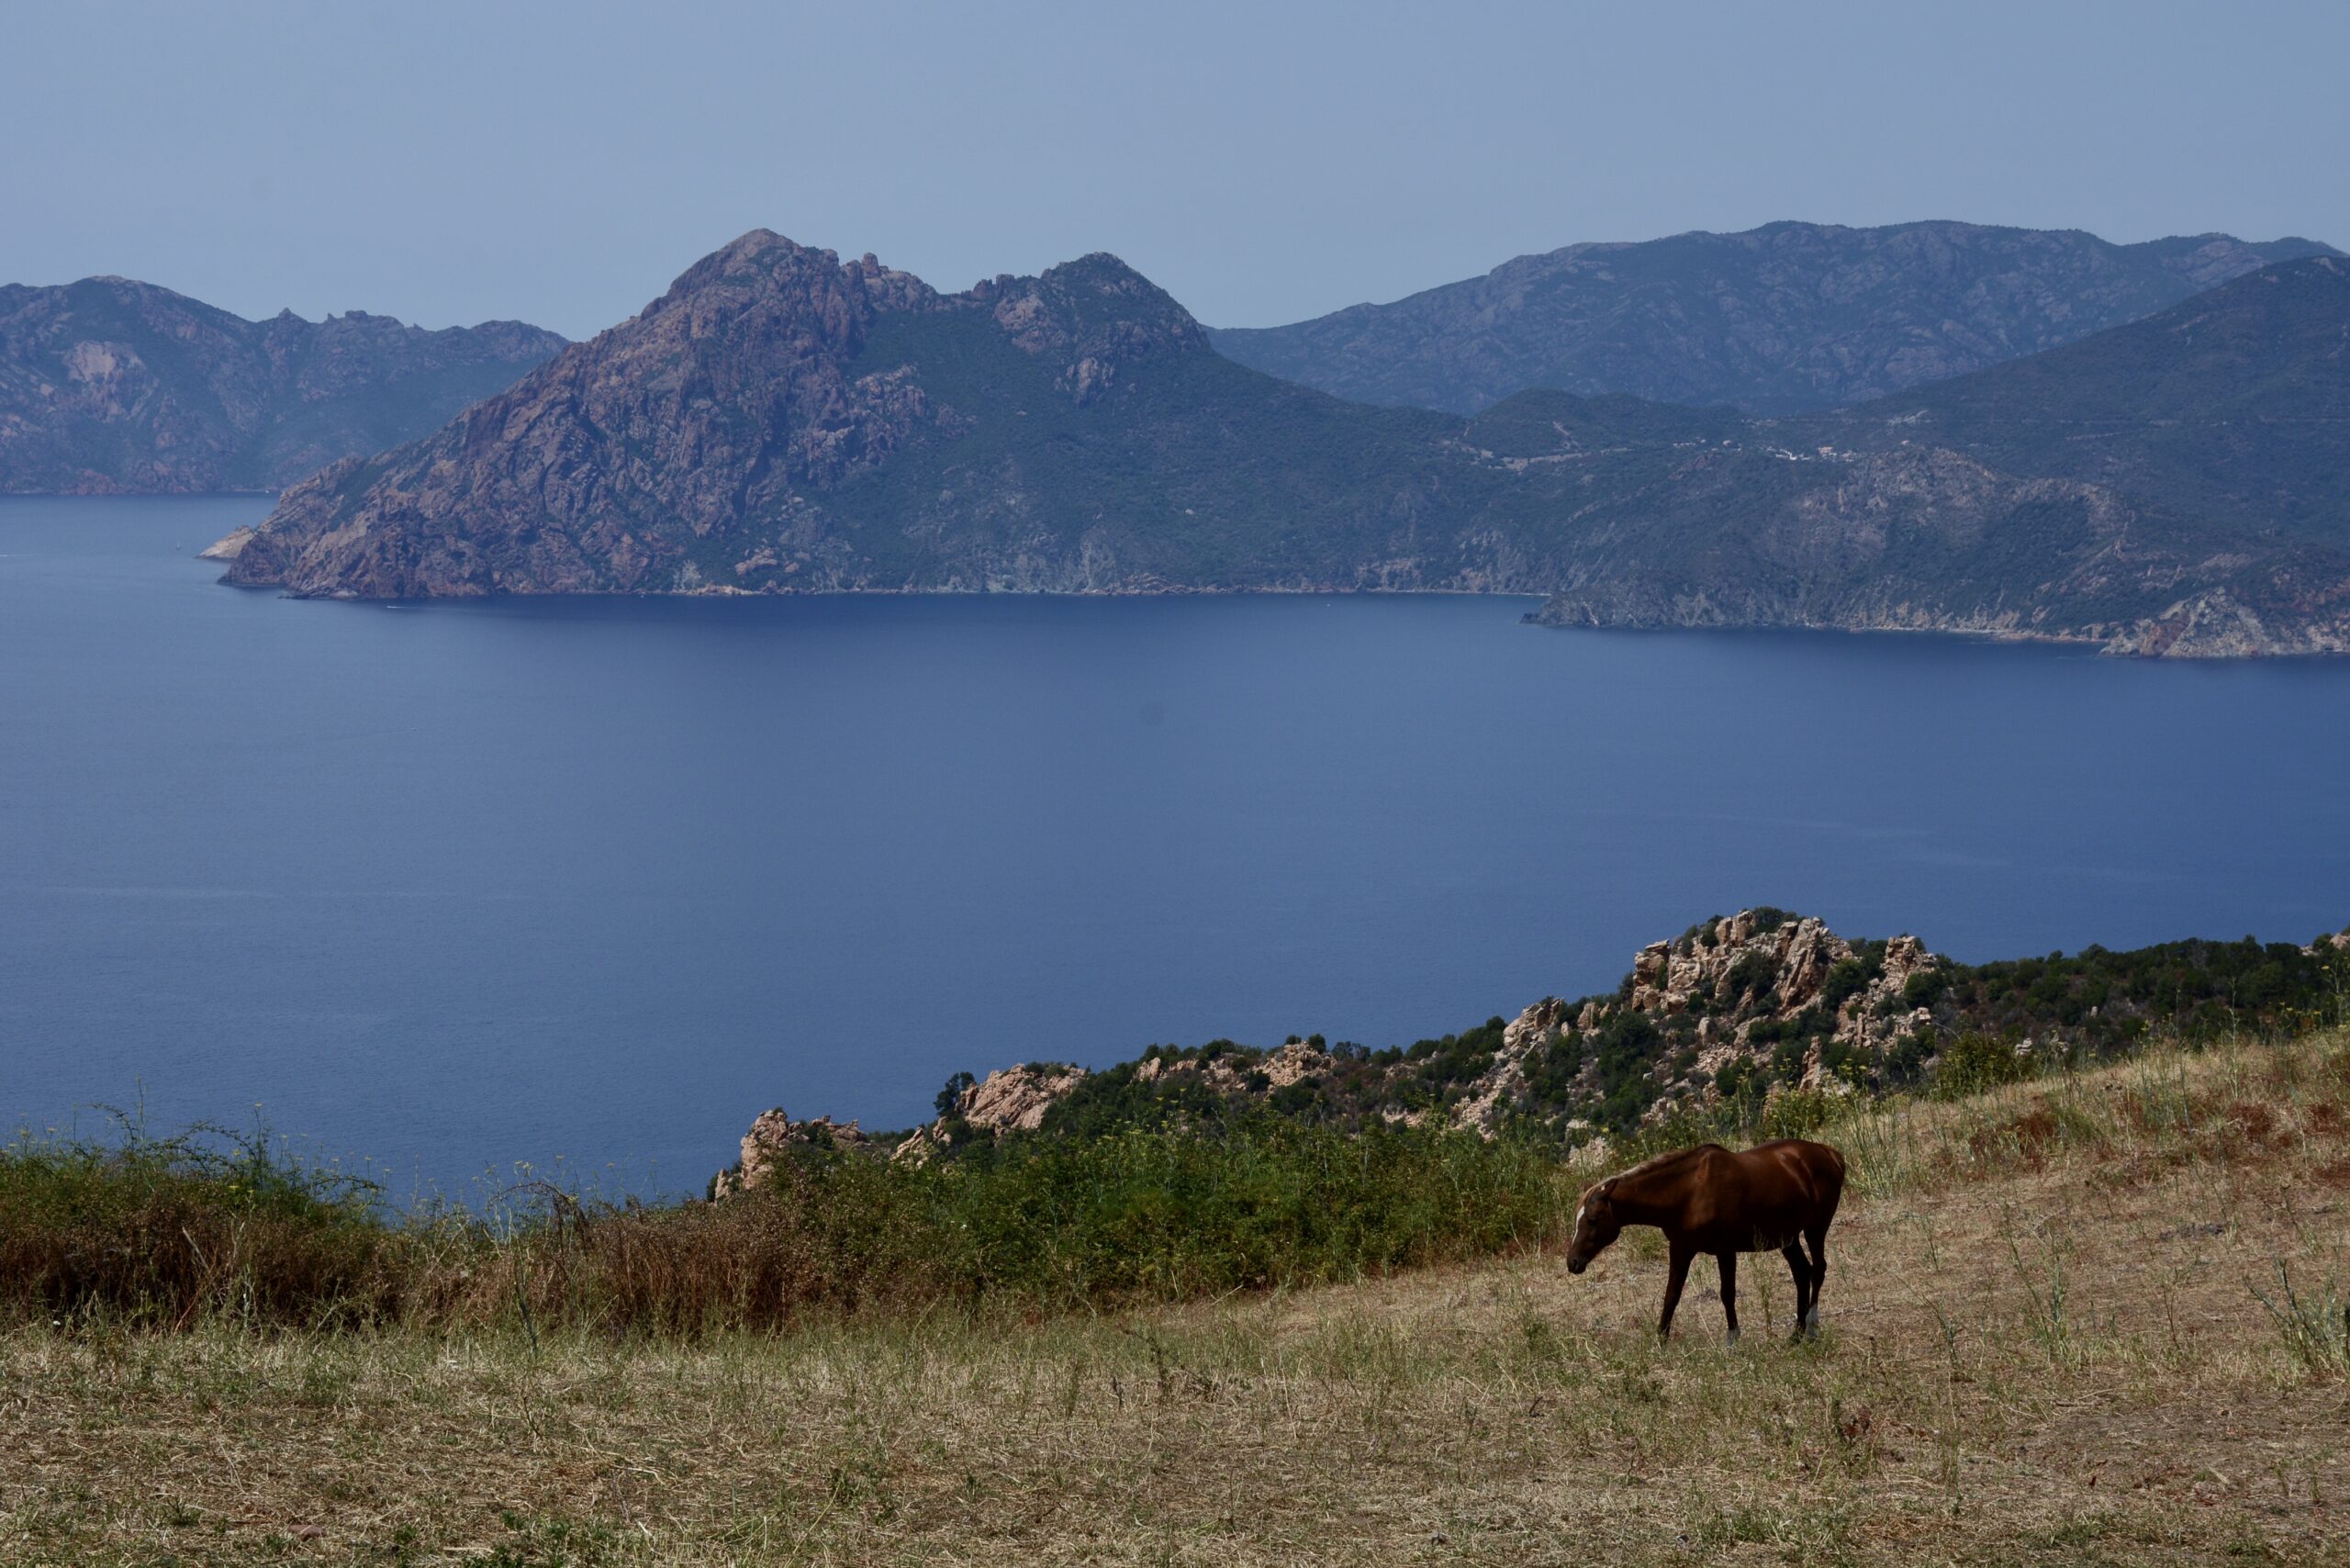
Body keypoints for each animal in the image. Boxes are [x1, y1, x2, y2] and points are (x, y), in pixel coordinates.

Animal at [1570, 1133, 1842, 1344]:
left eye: (1592, 1220)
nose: (1572, 1262)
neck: (1689, 1192)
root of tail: (1829, 1153)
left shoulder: (1725, 1249)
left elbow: (1727, 1293)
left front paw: (1732, 1340)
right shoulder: (1680, 1248)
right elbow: (1671, 1295)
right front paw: (1660, 1341)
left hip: (1816, 1229)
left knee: (1818, 1270)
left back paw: (1812, 1328)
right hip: (1788, 1239)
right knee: (1802, 1273)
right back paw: (1796, 1334)